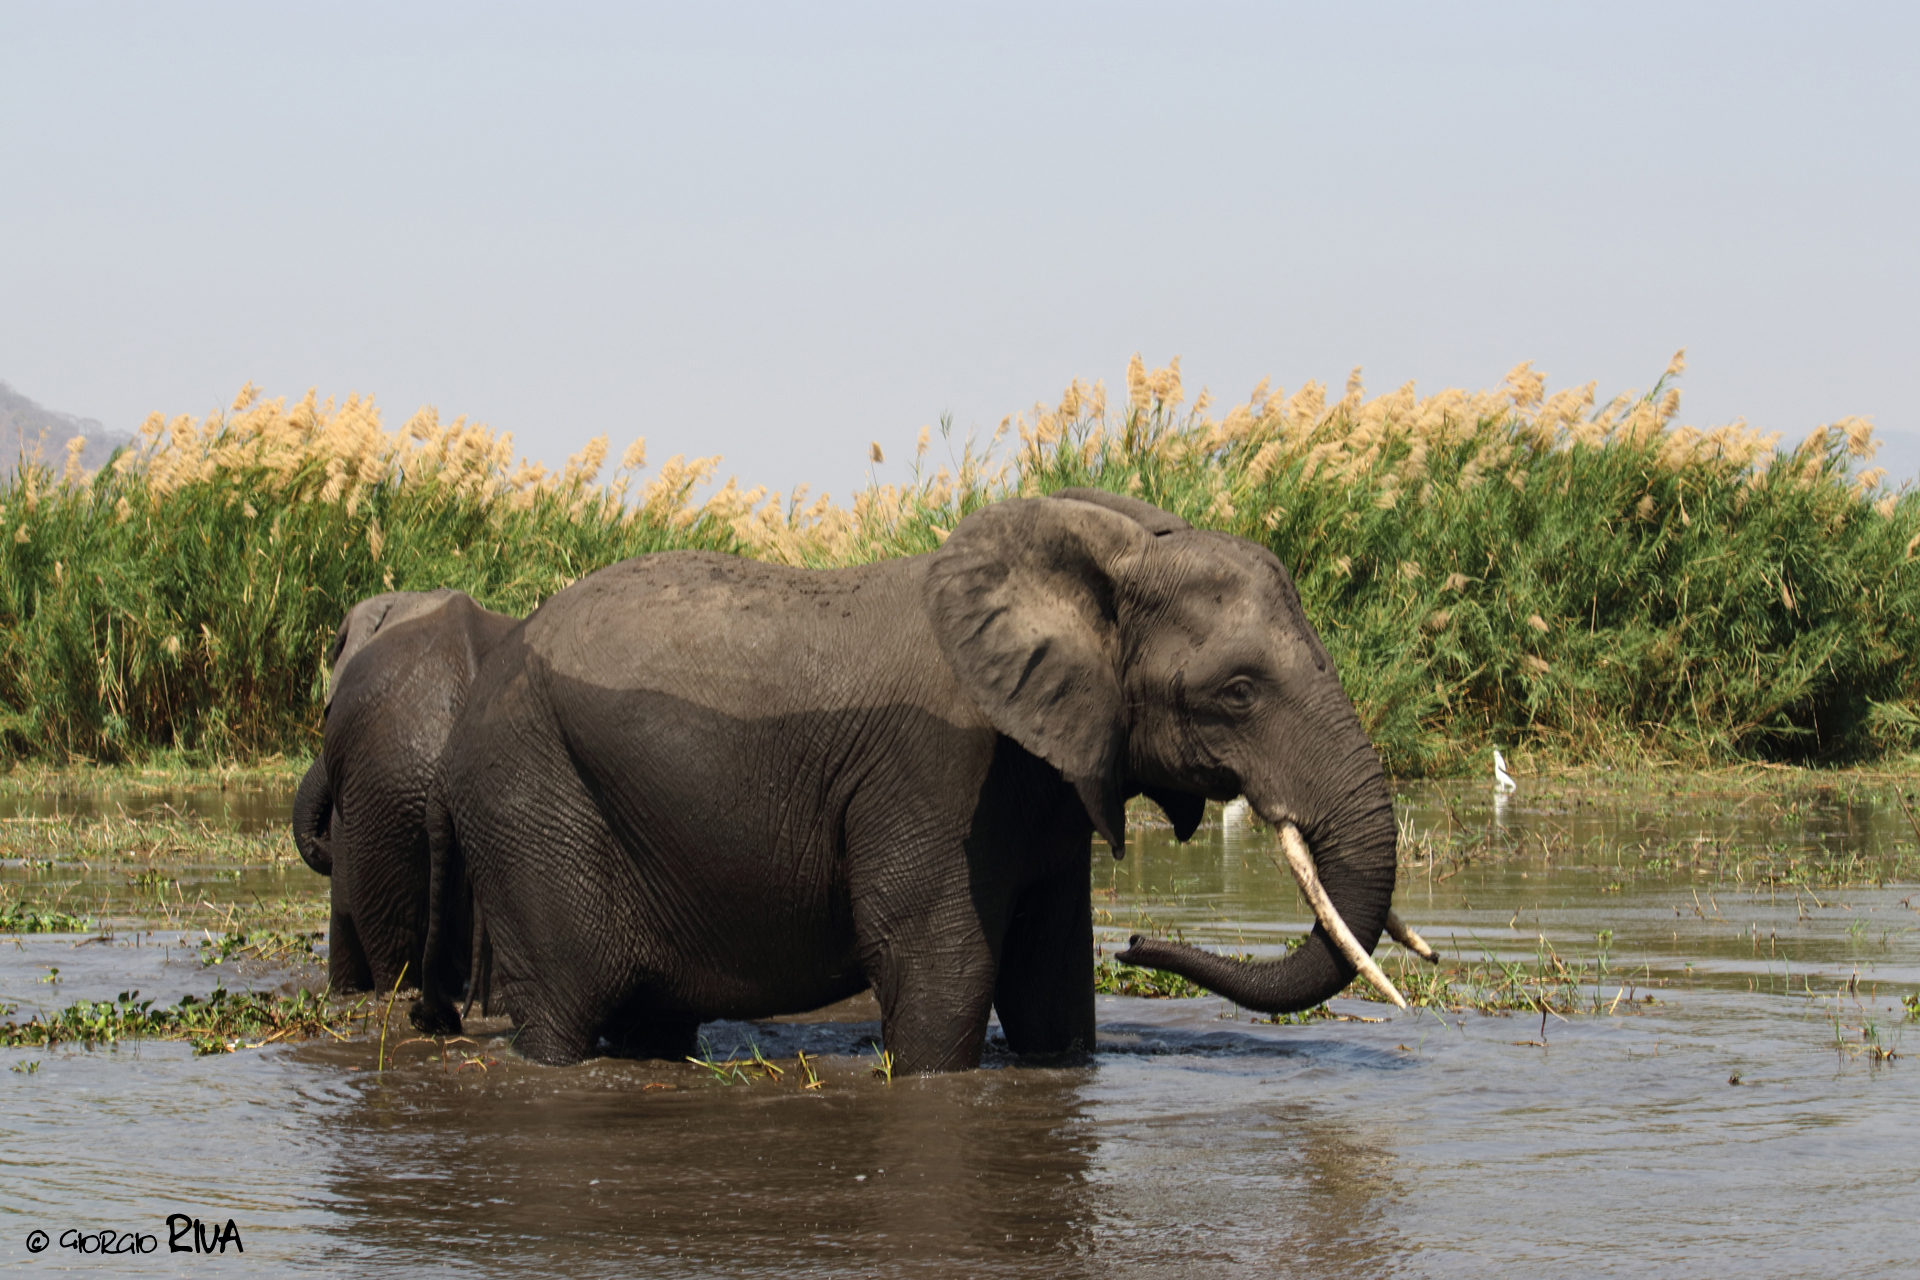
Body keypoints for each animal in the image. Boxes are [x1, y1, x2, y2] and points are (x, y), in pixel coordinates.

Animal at [408, 489, 1402, 1072]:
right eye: (1237, 692)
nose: (1137, 945)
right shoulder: (936, 773)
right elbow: (944, 969)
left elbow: (1050, 985)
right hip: (531, 798)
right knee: (562, 1012)